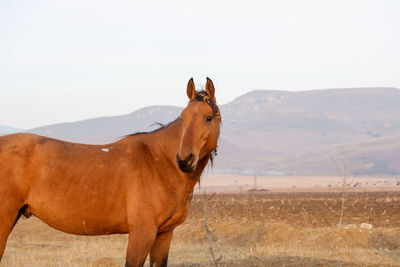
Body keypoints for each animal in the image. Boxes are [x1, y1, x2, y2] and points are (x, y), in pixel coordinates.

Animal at [0, 78, 222, 266]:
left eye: (208, 118)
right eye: (183, 118)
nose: (184, 160)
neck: (159, 162)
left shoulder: (164, 234)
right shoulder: (142, 234)